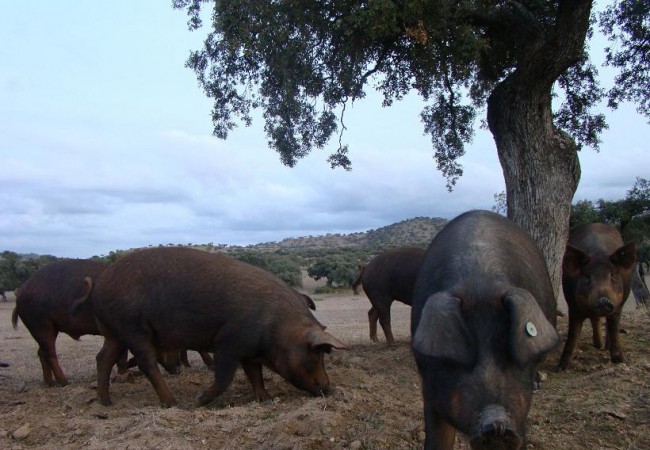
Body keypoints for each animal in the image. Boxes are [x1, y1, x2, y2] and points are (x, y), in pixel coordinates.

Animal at [90, 246, 350, 408]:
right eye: (317, 354)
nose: (329, 388)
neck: (277, 329)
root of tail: (101, 285)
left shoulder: (250, 351)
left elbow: (255, 375)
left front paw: (265, 400)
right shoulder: (228, 343)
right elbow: (225, 376)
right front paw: (199, 400)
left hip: (115, 332)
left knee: (102, 358)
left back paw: (106, 402)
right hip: (134, 329)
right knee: (147, 363)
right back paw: (172, 402)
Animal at [410, 211, 556, 450]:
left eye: (505, 340)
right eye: (468, 341)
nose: (496, 425)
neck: (480, 284)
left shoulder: (521, 405)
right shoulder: (429, 386)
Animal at [556, 221, 632, 370]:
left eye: (612, 275)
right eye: (587, 276)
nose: (603, 300)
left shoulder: (618, 306)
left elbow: (614, 329)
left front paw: (619, 361)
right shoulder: (572, 305)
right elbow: (572, 334)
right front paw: (560, 368)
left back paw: (604, 347)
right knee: (595, 320)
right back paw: (598, 345)